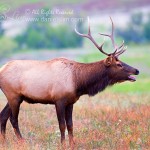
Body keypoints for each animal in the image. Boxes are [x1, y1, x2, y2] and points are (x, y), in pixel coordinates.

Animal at [0, 17, 139, 145]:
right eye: (118, 64)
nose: (136, 70)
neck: (78, 82)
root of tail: (2, 69)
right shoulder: (59, 100)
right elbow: (62, 125)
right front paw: (62, 144)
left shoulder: (71, 102)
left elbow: (70, 125)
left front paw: (72, 144)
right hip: (13, 95)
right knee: (13, 119)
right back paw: (22, 141)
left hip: (16, 97)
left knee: (3, 116)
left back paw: (4, 142)